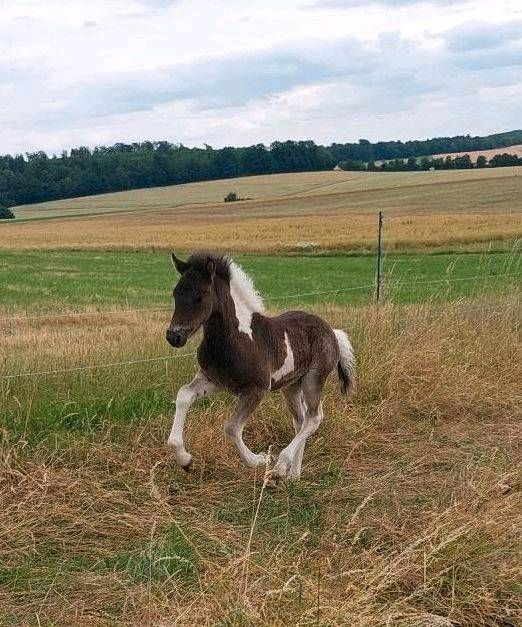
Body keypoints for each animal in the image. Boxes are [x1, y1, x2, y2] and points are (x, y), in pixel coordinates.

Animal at [166, 253, 354, 484]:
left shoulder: (257, 389)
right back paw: (293, 475)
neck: (235, 338)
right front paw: (185, 460)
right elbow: (184, 394)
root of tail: (332, 331)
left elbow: (232, 428)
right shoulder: (213, 380)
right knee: (300, 420)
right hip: (291, 386)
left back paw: (281, 467)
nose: (174, 336)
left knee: (314, 418)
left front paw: (259, 460)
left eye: (200, 296)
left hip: (313, 380)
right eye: (176, 293)